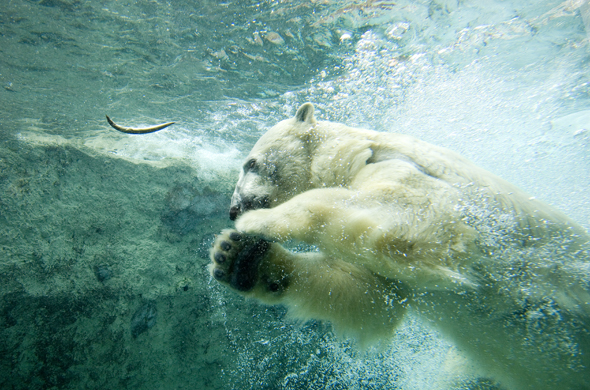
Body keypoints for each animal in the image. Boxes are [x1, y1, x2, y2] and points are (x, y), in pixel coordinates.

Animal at [209, 102, 590, 388]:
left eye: (251, 163)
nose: (234, 209)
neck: (357, 152)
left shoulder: (409, 171)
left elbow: (415, 215)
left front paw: (258, 223)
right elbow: (373, 294)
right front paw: (239, 258)